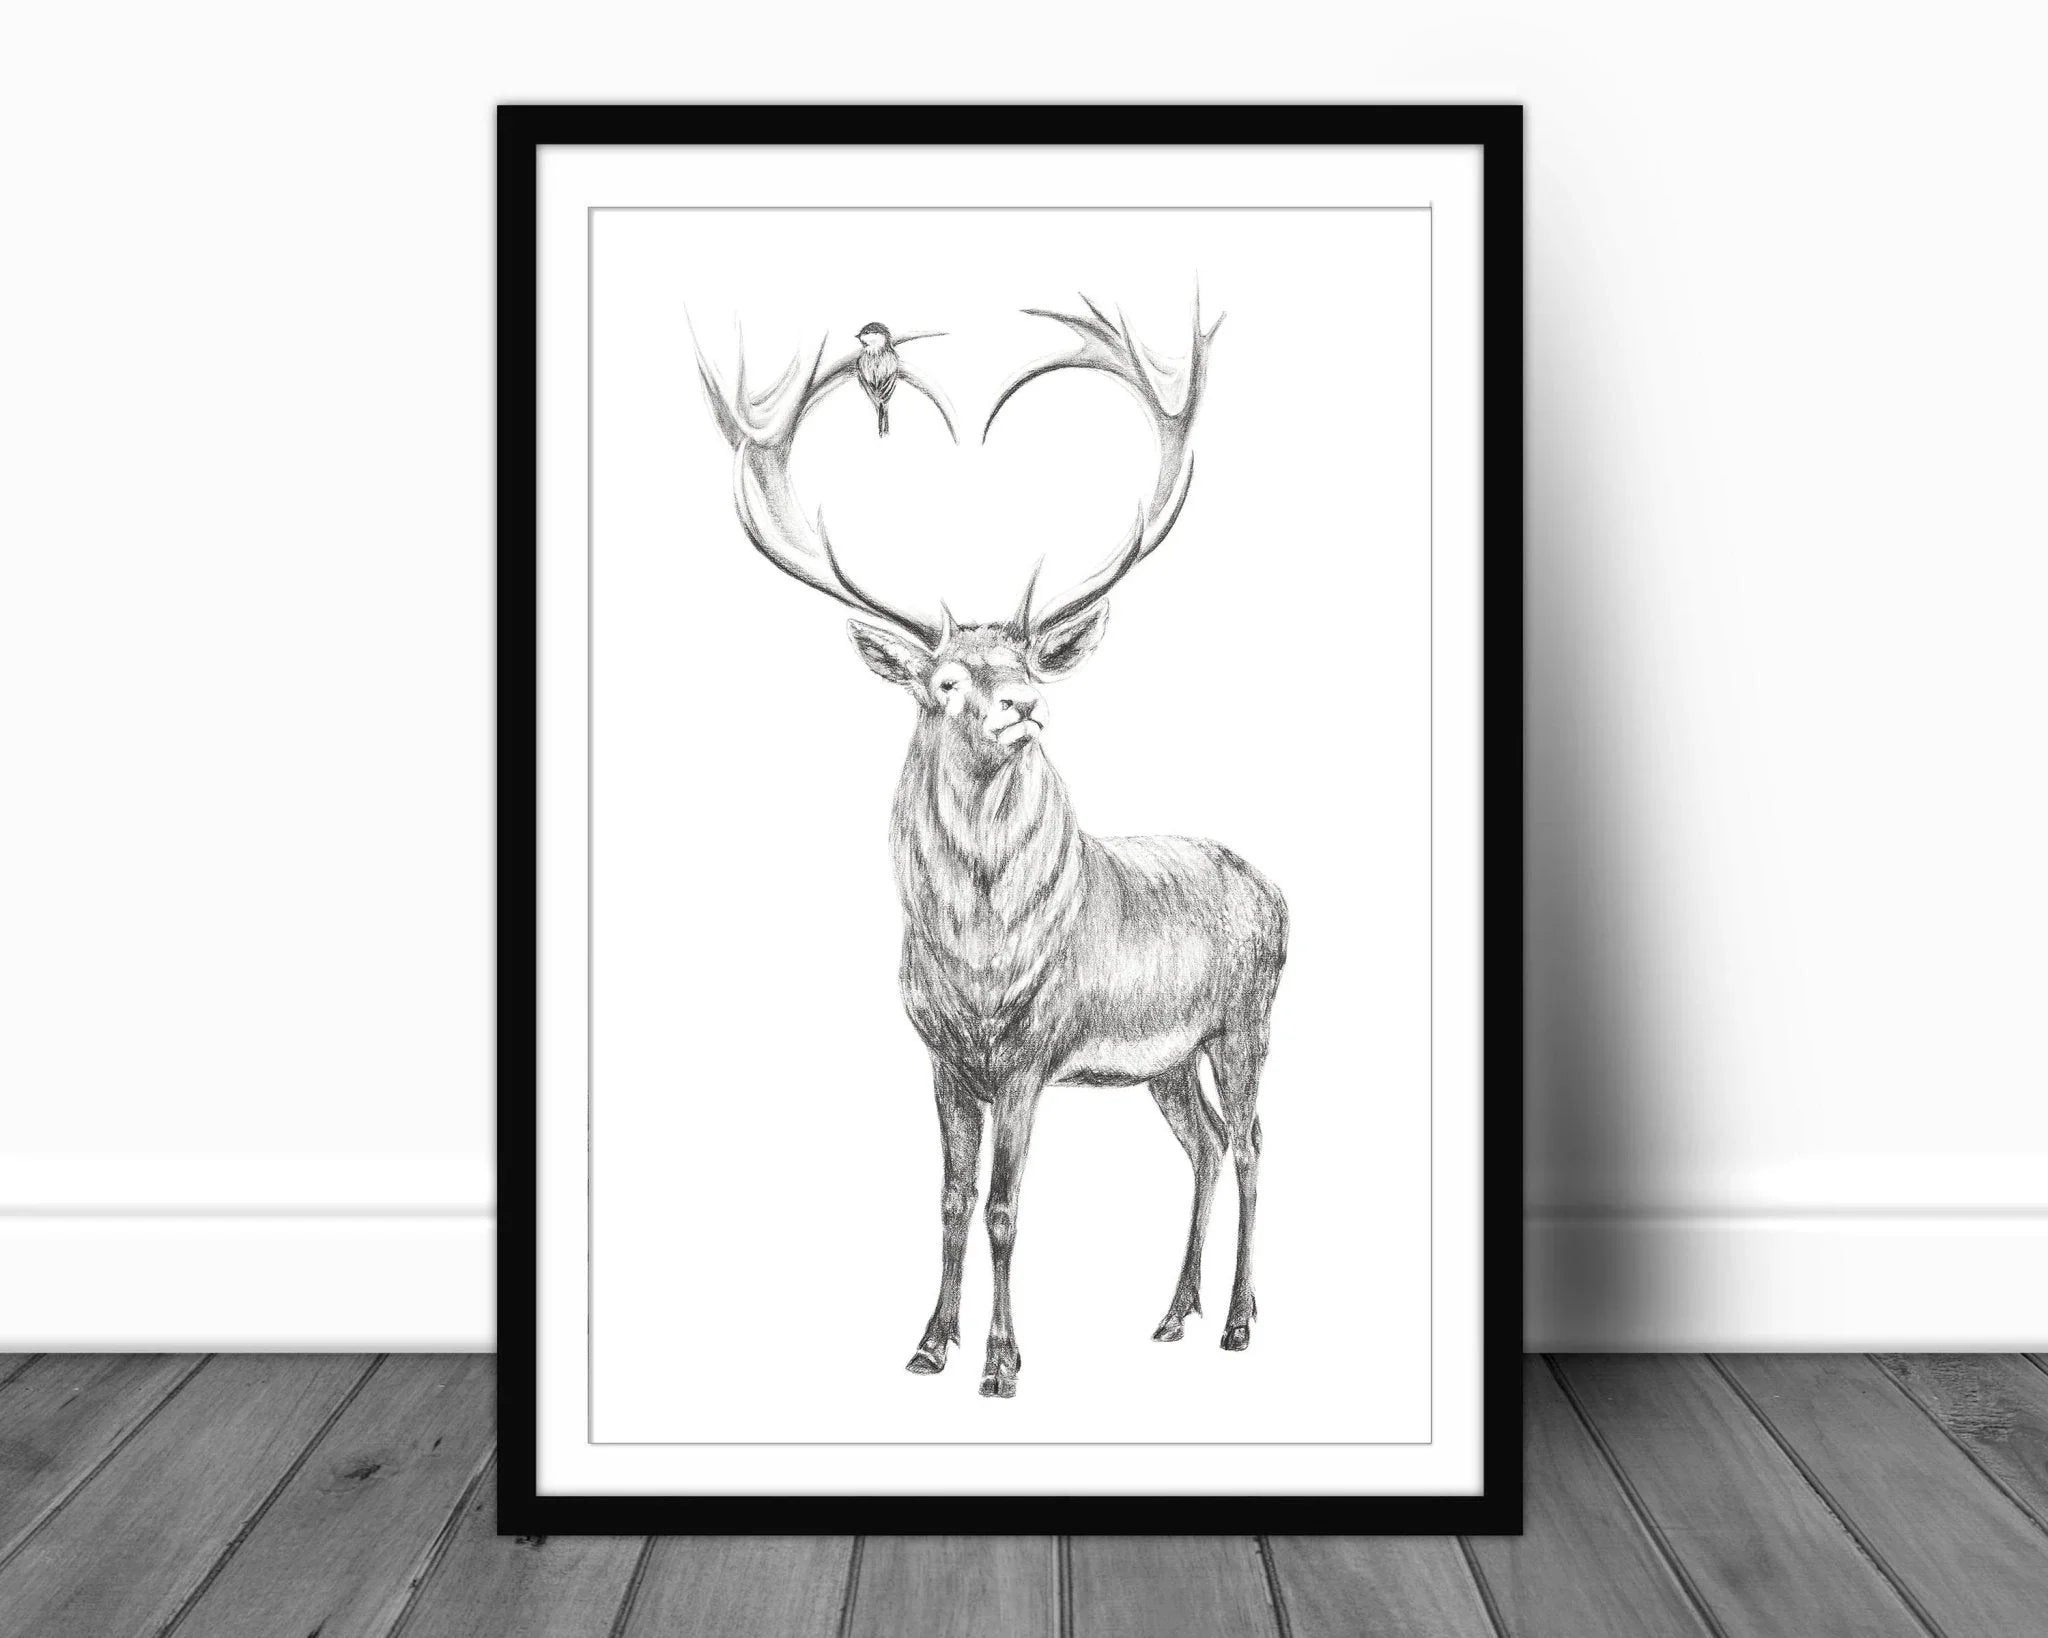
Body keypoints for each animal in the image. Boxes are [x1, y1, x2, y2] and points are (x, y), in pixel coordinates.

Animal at [695, 299, 1287, 1398]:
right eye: (944, 683)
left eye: (1024, 667)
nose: (1023, 706)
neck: (978, 959)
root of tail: (1278, 892)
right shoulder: (939, 1055)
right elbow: (947, 1200)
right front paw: (928, 1344)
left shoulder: (1029, 1052)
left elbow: (1007, 1206)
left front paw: (1004, 1364)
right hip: (1167, 1057)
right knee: (1204, 1141)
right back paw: (1172, 1313)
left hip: (1247, 1019)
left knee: (1255, 1143)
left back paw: (1236, 1321)